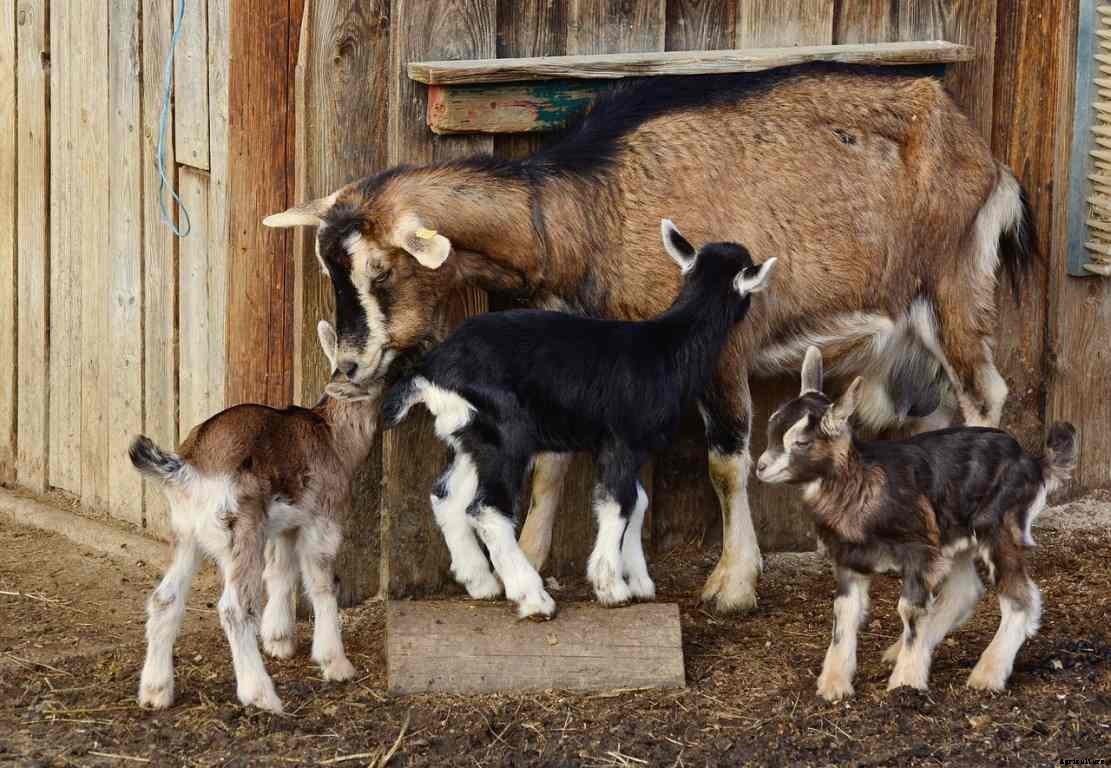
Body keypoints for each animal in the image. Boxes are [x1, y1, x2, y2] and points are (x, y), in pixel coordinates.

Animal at [129, 321, 376, 713]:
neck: (332, 435)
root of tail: (188, 468)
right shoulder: (324, 518)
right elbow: (322, 583)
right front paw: (335, 662)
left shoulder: (285, 524)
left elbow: (281, 572)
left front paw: (279, 640)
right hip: (239, 530)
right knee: (234, 608)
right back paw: (260, 694)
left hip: (186, 534)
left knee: (164, 598)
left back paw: (155, 691)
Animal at [380, 222, 775, 617]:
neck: (667, 345)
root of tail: (431, 371)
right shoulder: (622, 441)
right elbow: (620, 503)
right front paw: (610, 587)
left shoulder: (624, 447)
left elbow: (638, 502)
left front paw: (639, 581)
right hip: (505, 435)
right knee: (487, 509)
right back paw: (532, 597)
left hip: (471, 437)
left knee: (446, 496)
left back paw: (481, 582)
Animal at [755, 346, 1077, 701]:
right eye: (771, 430)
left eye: (801, 442)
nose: (761, 467)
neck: (862, 485)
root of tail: (1033, 462)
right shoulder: (849, 559)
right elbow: (844, 614)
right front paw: (834, 684)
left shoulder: (919, 553)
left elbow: (909, 611)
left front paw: (906, 681)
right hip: (954, 537)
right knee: (965, 591)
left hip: (998, 527)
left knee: (1020, 598)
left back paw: (987, 674)